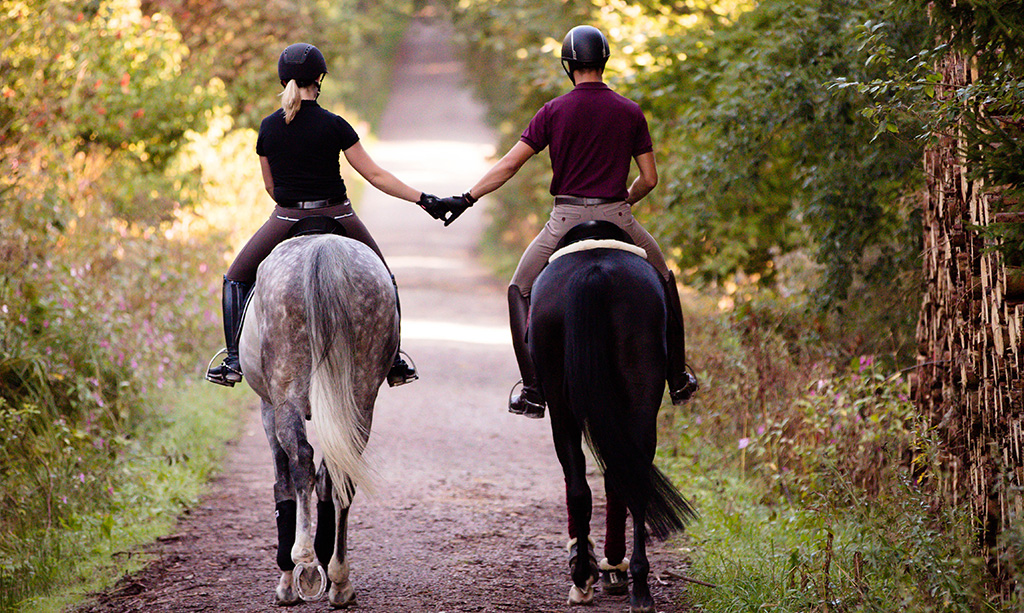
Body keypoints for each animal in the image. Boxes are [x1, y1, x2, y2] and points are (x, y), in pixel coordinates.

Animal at [237, 232, 397, 605]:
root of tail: (323, 250)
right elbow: (327, 479)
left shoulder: (268, 407)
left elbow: (282, 484)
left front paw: (287, 578)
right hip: (361, 395)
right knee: (341, 474)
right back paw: (338, 579)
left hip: (287, 394)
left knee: (301, 462)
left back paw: (305, 563)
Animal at [528, 223, 696, 609]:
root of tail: (595, 272)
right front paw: (608, 567)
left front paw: (595, 565)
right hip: (639, 395)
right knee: (628, 479)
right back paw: (638, 585)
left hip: (563, 405)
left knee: (582, 483)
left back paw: (587, 576)